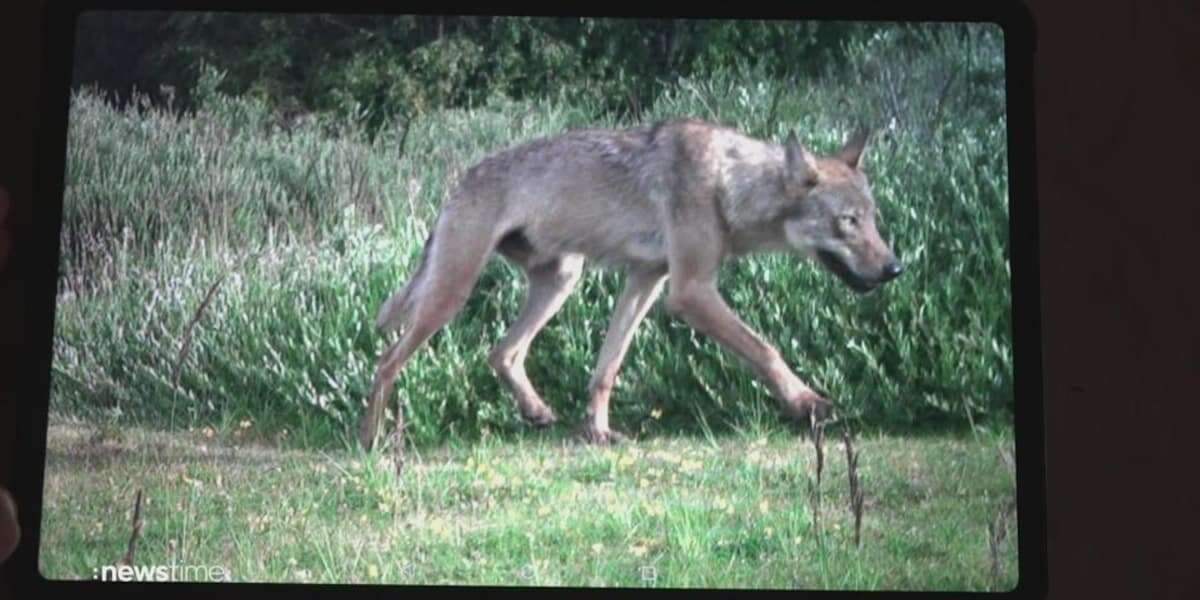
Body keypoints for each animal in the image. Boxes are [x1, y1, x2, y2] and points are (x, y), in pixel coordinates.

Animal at [360, 117, 902, 460]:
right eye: (847, 222)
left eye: (873, 219)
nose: (895, 268)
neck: (728, 183)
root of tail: (459, 181)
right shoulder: (689, 291)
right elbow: (766, 349)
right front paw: (808, 404)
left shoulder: (646, 279)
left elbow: (607, 367)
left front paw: (598, 433)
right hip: (451, 295)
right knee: (386, 362)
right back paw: (371, 443)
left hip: (562, 280)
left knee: (502, 352)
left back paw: (537, 412)